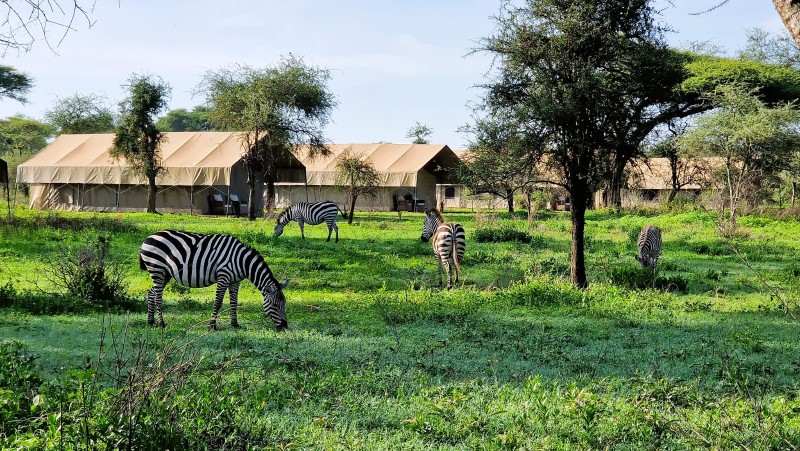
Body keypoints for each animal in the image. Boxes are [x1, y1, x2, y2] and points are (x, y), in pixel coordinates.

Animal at [139, 230, 289, 330]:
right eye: (275, 305)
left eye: (284, 304)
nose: (285, 326)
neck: (242, 261)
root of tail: (148, 237)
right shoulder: (224, 276)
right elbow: (218, 302)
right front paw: (212, 325)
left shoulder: (235, 281)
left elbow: (234, 302)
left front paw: (235, 324)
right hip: (157, 269)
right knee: (158, 296)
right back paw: (162, 324)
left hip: (165, 273)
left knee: (151, 293)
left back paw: (150, 322)